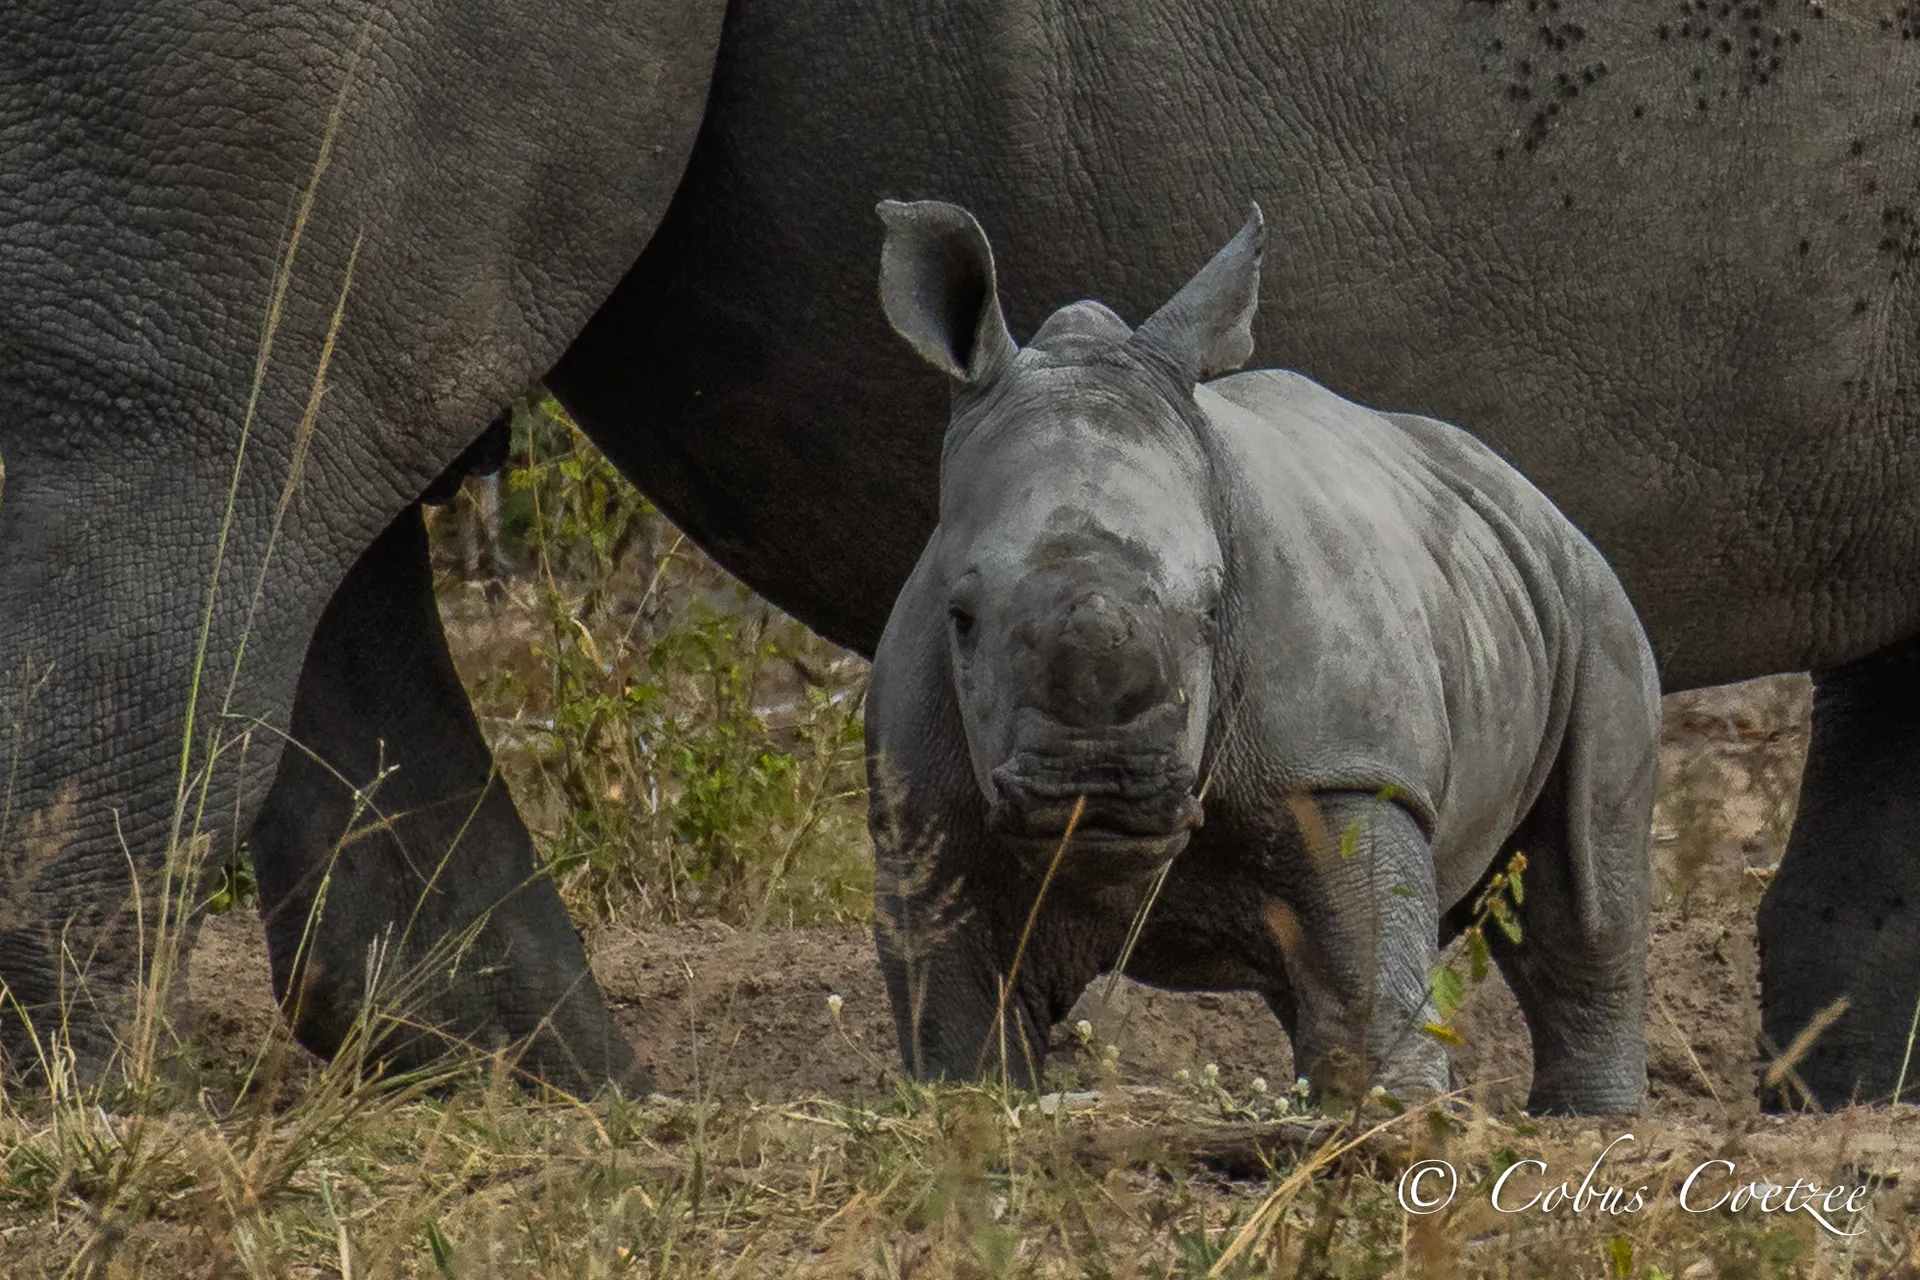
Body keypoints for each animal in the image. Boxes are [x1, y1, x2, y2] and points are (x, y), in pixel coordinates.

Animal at [864, 200, 1661, 1115]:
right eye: (960, 618)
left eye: (1214, 612)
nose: (1098, 786)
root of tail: (1526, 487)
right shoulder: (922, 802)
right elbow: (958, 1011)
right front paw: (973, 1107)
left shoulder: (1344, 763)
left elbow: (1367, 964)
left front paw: (1392, 1115)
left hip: (1590, 600)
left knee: (1582, 886)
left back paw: (1590, 1122)